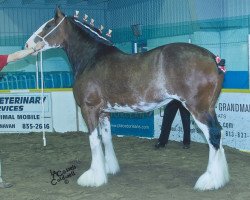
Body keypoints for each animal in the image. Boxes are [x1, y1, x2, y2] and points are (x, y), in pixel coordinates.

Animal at [25, 7, 229, 190]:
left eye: (48, 25)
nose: (27, 45)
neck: (92, 58)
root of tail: (214, 59)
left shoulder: (89, 109)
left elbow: (94, 141)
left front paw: (94, 177)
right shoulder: (104, 112)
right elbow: (106, 138)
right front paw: (109, 169)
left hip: (198, 109)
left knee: (213, 135)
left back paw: (209, 180)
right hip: (209, 108)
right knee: (219, 134)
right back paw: (220, 178)